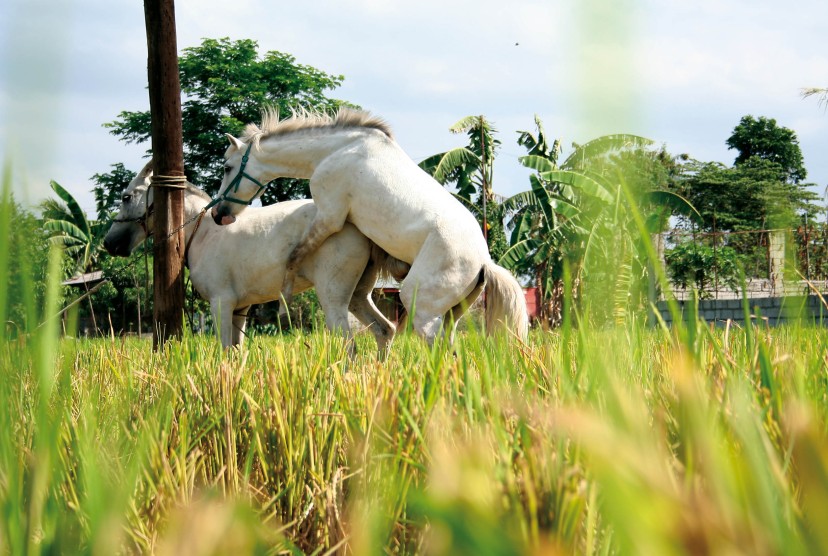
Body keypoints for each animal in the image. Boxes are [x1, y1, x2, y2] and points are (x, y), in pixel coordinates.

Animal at [102, 159, 406, 356]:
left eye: (126, 196)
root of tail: (357, 223)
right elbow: (236, 352)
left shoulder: (221, 303)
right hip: (358, 295)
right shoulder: (240, 308)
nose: (108, 243)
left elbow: (224, 350)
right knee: (385, 330)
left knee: (349, 345)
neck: (203, 233)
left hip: (333, 297)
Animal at [210, 108, 528, 344]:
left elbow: (294, 255)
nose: (218, 214)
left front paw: (282, 304)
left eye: (226, 167)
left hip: (420, 306)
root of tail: (484, 261)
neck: (336, 151)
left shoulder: (329, 216)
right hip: (451, 313)